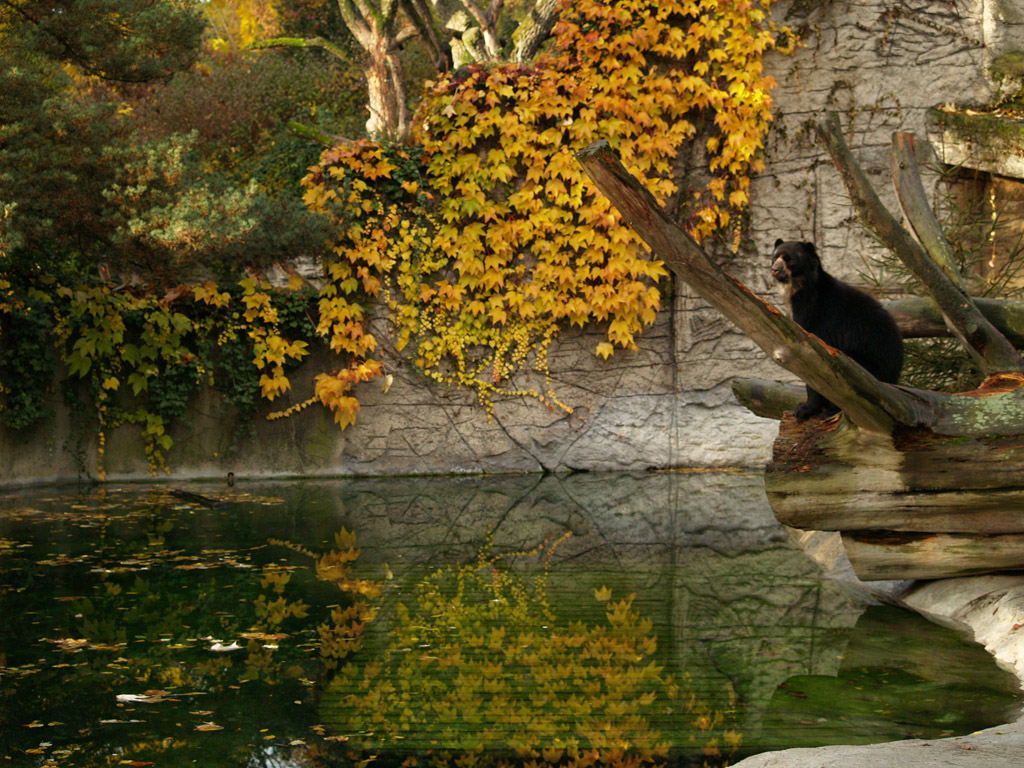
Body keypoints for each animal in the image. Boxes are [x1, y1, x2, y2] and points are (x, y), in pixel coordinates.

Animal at [770, 239, 903, 420]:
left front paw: (804, 408)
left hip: (866, 365)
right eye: (775, 257)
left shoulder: (815, 314)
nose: (775, 269)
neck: (801, 288)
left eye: (789, 259)